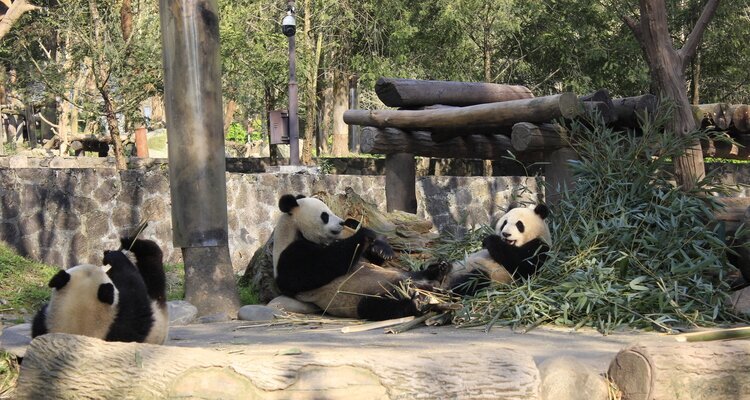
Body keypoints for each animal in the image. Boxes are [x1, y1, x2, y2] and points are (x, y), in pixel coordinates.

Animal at [31, 237, 168, 344]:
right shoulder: (119, 329)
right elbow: (134, 289)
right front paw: (115, 257)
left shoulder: (43, 324)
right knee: (154, 276)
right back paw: (141, 246)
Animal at [273, 194, 449, 321]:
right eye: (325, 216)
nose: (342, 223)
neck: (294, 230)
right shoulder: (289, 256)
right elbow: (318, 267)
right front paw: (363, 233)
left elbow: (370, 259)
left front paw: (381, 249)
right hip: (359, 297)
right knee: (379, 306)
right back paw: (417, 302)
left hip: (401, 275)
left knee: (415, 274)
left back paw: (438, 271)